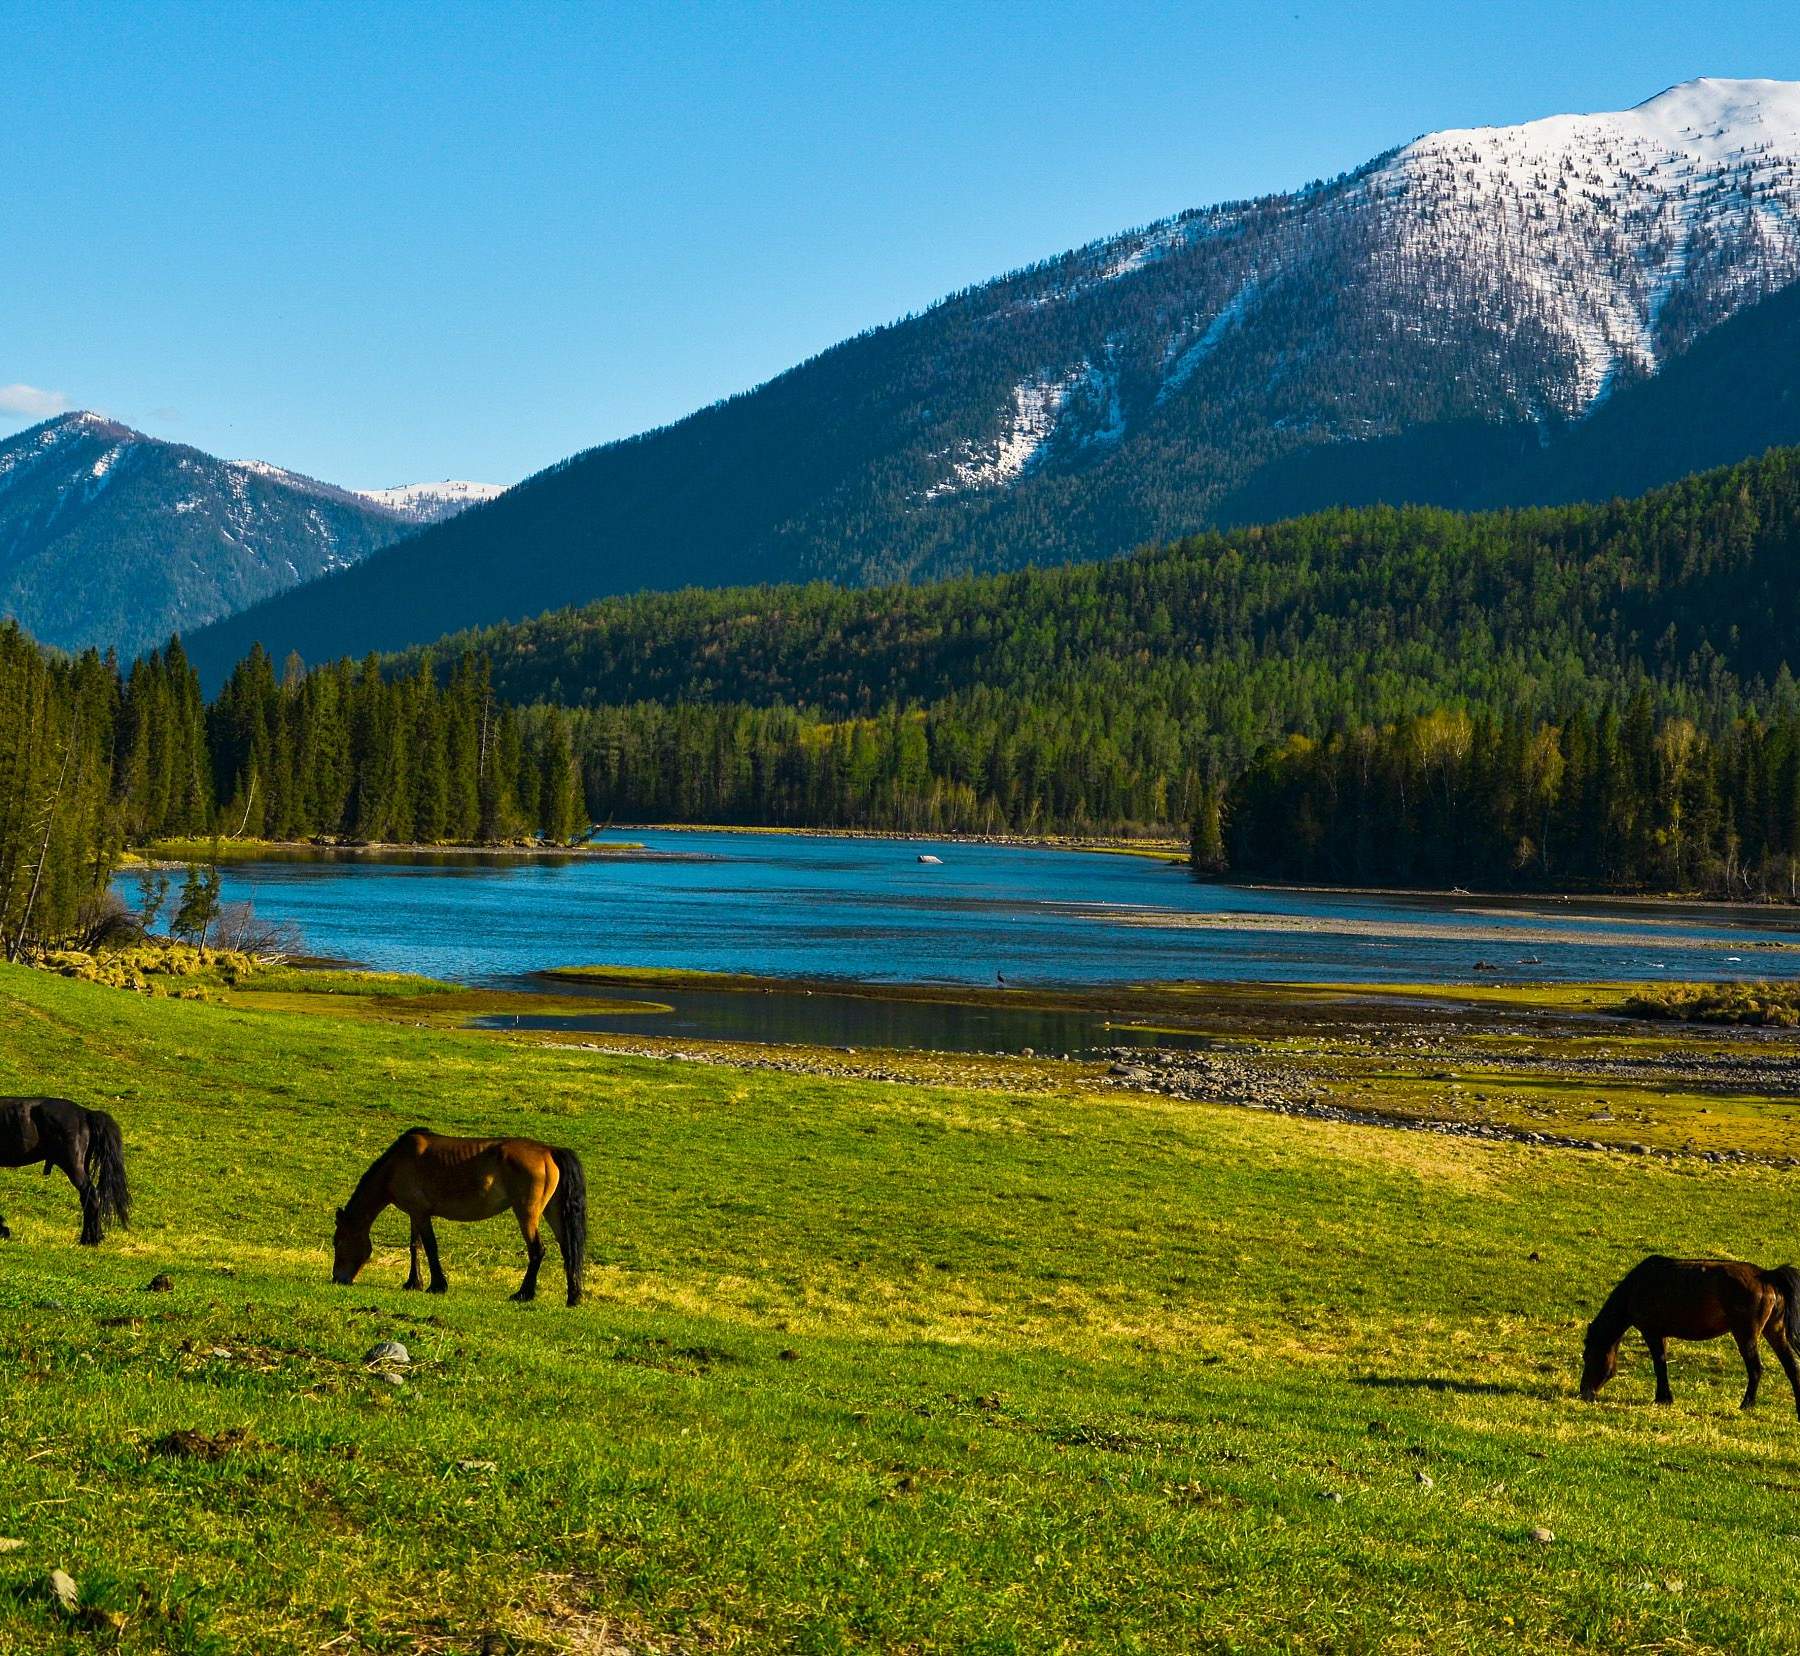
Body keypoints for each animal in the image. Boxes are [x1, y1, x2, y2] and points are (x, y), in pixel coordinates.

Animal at [334, 1123, 586, 1303]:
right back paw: (573, 1296)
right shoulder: (415, 1213)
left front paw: (437, 1285)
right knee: (568, 1250)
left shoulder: (421, 1214)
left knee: (537, 1250)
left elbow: (430, 1246)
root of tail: (549, 1151)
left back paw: (523, 1294)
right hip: (552, 1212)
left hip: (527, 1213)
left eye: (338, 1242)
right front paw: (413, 1283)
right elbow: (415, 1246)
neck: (396, 1165)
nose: (338, 1278)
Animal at [1576, 1252, 1800, 1411]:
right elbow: (1662, 1363)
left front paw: (1663, 1398)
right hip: (1774, 1331)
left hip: (1746, 1335)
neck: (1636, 1288)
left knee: (1755, 1369)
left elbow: (1659, 1364)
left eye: (1588, 1356)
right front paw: (1664, 1397)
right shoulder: (1661, 1335)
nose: (1584, 1393)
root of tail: (1767, 1276)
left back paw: (1746, 1405)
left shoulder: (1652, 1332)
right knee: (1791, 1367)